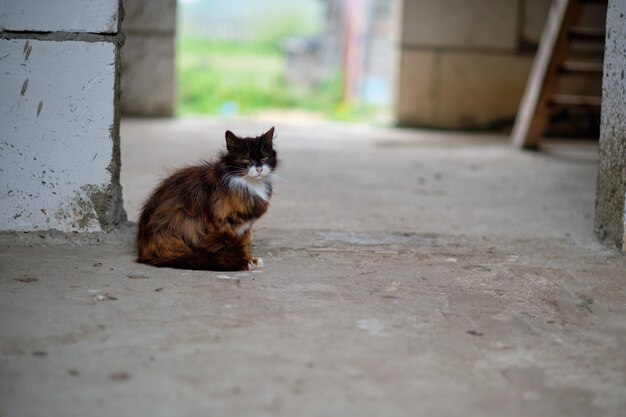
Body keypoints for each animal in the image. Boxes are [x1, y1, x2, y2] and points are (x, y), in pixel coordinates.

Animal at [136, 126, 278, 270]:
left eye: (264, 157)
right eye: (246, 160)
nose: (259, 169)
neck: (249, 185)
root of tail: (143, 251)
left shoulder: (245, 227)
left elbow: (245, 243)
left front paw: (249, 259)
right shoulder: (220, 224)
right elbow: (229, 245)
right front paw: (243, 261)